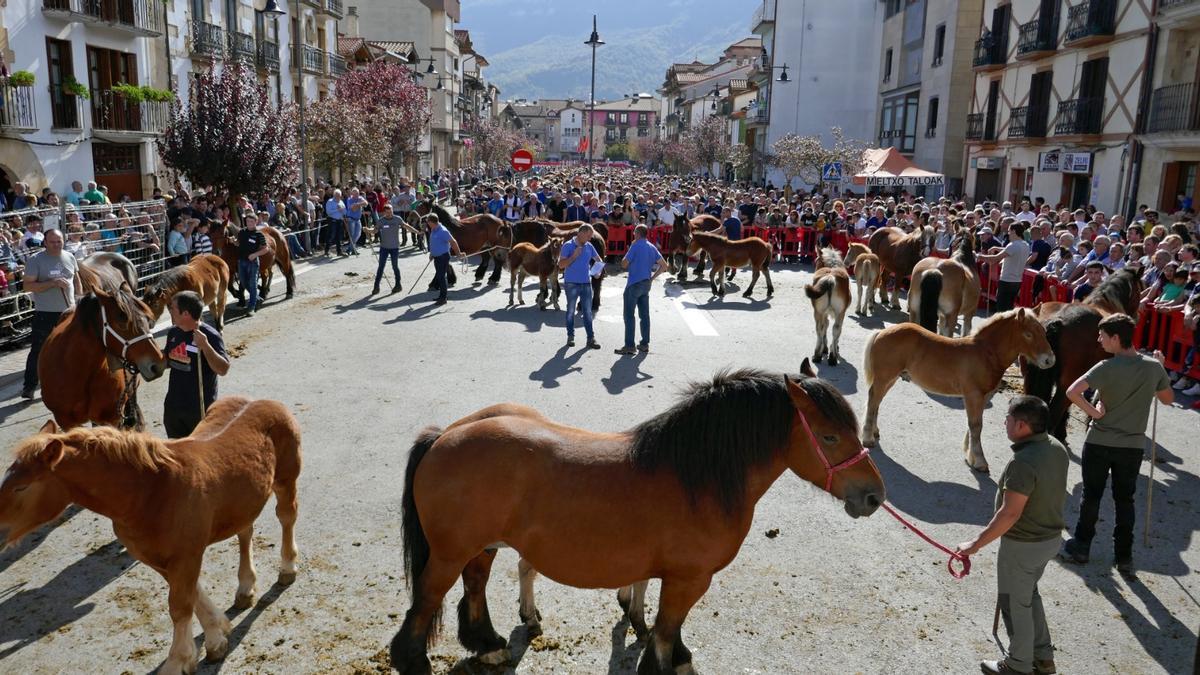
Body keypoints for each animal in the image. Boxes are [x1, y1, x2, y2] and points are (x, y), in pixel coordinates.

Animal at [0, 396, 304, 667]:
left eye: (22, 487)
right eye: (6, 479)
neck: (152, 491)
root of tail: (264, 401)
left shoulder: (186, 556)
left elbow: (180, 606)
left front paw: (180, 660)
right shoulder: (156, 557)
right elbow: (192, 595)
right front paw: (217, 637)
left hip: (285, 480)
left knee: (286, 516)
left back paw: (287, 568)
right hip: (244, 499)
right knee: (245, 531)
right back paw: (245, 588)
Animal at [388, 365, 888, 667]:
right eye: (829, 437)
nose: (874, 495)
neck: (698, 476)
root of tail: (444, 435)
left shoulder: (674, 577)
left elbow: (667, 626)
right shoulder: (688, 579)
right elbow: (666, 630)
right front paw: (666, 660)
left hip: (481, 547)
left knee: (474, 587)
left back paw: (488, 645)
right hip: (448, 554)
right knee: (424, 606)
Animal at [864, 307, 1051, 470]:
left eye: (1044, 332)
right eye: (1028, 334)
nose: (1050, 360)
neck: (986, 353)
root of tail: (881, 332)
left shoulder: (984, 396)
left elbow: (974, 425)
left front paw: (970, 457)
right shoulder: (973, 395)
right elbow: (976, 425)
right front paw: (980, 462)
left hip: (891, 378)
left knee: (877, 401)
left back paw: (874, 432)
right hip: (884, 377)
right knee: (873, 400)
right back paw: (867, 439)